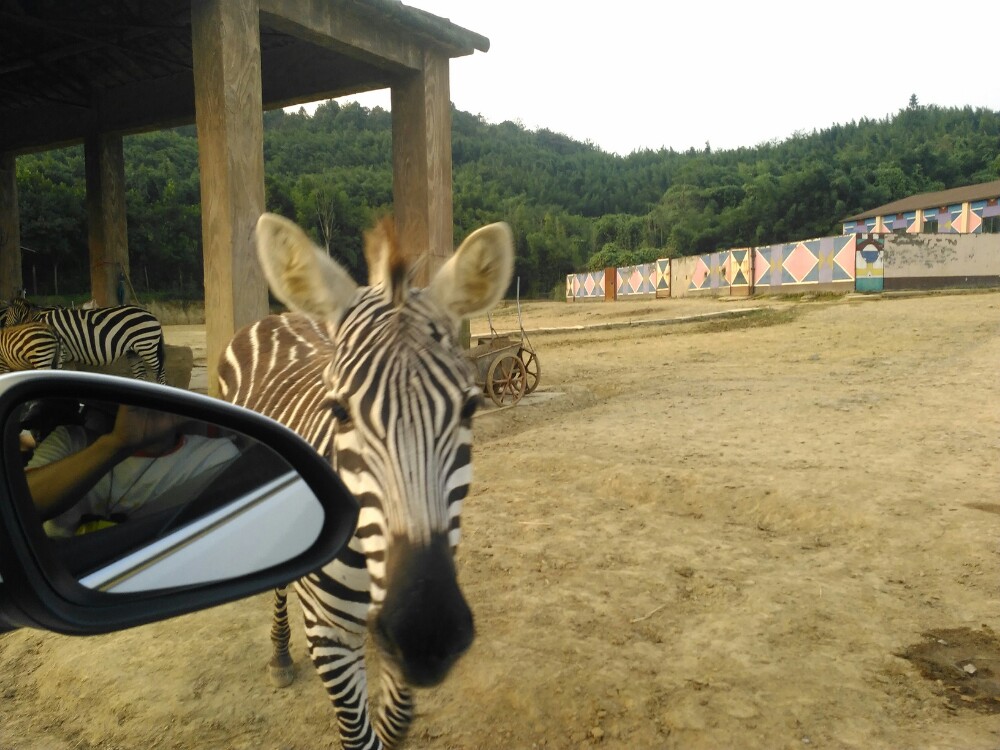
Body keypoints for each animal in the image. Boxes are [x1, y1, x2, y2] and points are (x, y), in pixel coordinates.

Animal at [0, 298, 164, 384]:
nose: (5, 331)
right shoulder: (67, 358)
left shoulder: (60, 354)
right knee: (140, 373)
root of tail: (150, 314)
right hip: (133, 351)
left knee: (159, 370)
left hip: (147, 345)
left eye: (7, 317)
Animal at [221, 213, 516, 750]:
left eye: (470, 408)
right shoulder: (329, 637)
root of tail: (278, 316)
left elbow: (393, 723)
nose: (428, 634)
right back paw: (280, 656)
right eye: (338, 411)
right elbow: (357, 734)